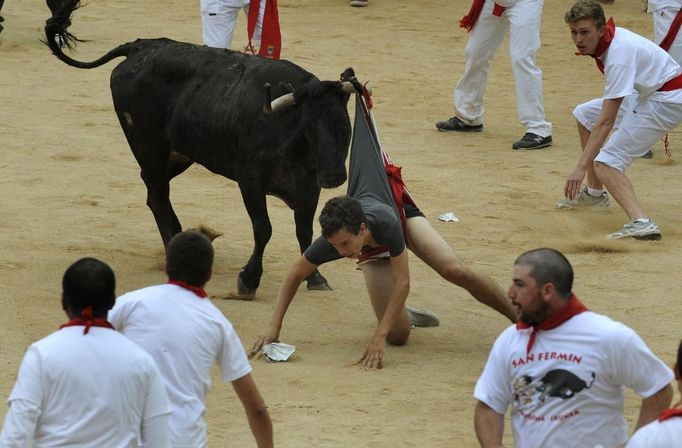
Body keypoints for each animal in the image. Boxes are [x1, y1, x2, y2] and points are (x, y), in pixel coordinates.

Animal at [43, 1, 354, 296]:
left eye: (345, 126)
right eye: (310, 127)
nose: (334, 176)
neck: (287, 131)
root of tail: (141, 47)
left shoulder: (308, 188)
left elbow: (305, 233)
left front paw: (315, 278)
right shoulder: (250, 182)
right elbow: (263, 229)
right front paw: (248, 280)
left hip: (178, 154)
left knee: (152, 191)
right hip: (148, 146)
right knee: (158, 195)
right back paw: (176, 248)